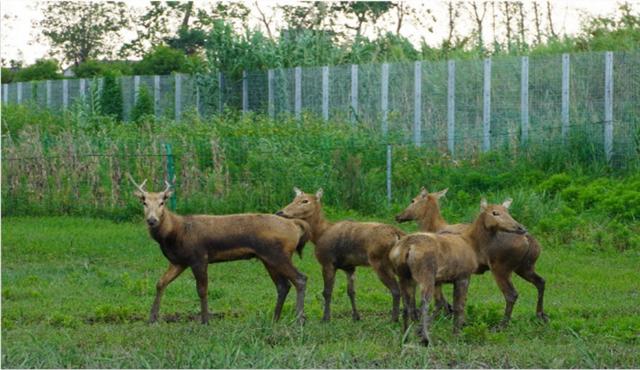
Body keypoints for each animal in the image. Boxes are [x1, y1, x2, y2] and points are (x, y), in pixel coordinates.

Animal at [126, 175, 312, 322]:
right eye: (144, 202)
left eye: (162, 202)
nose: (152, 220)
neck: (176, 233)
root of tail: (295, 226)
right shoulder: (179, 261)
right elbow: (160, 283)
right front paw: (152, 319)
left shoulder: (199, 257)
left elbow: (202, 290)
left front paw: (205, 321)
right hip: (267, 257)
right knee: (283, 285)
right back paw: (275, 318)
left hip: (277, 253)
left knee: (300, 278)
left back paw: (299, 320)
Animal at [276, 188, 404, 320]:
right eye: (294, 199)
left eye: (305, 201)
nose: (280, 212)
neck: (319, 235)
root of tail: (398, 234)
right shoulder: (349, 267)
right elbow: (351, 292)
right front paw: (356, 317)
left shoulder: (327, 261)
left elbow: (327, 292)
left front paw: (326, 318)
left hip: (379, 261)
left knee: (396, 290)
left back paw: (394, 319)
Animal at [388, 198, 528, 346]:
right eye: (495, 212)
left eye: (508, 211)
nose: (521, 227)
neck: (474, 246)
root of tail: (407, 248)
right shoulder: (463, 275)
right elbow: (459, 306)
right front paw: (457, 334)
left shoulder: (447, 279)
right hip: (426, 274)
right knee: (424, 304)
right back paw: (426, 339)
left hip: (404, 275)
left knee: (407, 304)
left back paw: (405, 336)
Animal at [398, 188, 548, 326]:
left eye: (412, 200)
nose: (398, 216)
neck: (433, 227)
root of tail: (529, 240)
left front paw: (444, 315)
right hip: (525, 267)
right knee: (541, 282)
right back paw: (541, 315)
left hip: (501, 267)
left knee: (511, 294)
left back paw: (502, 325)